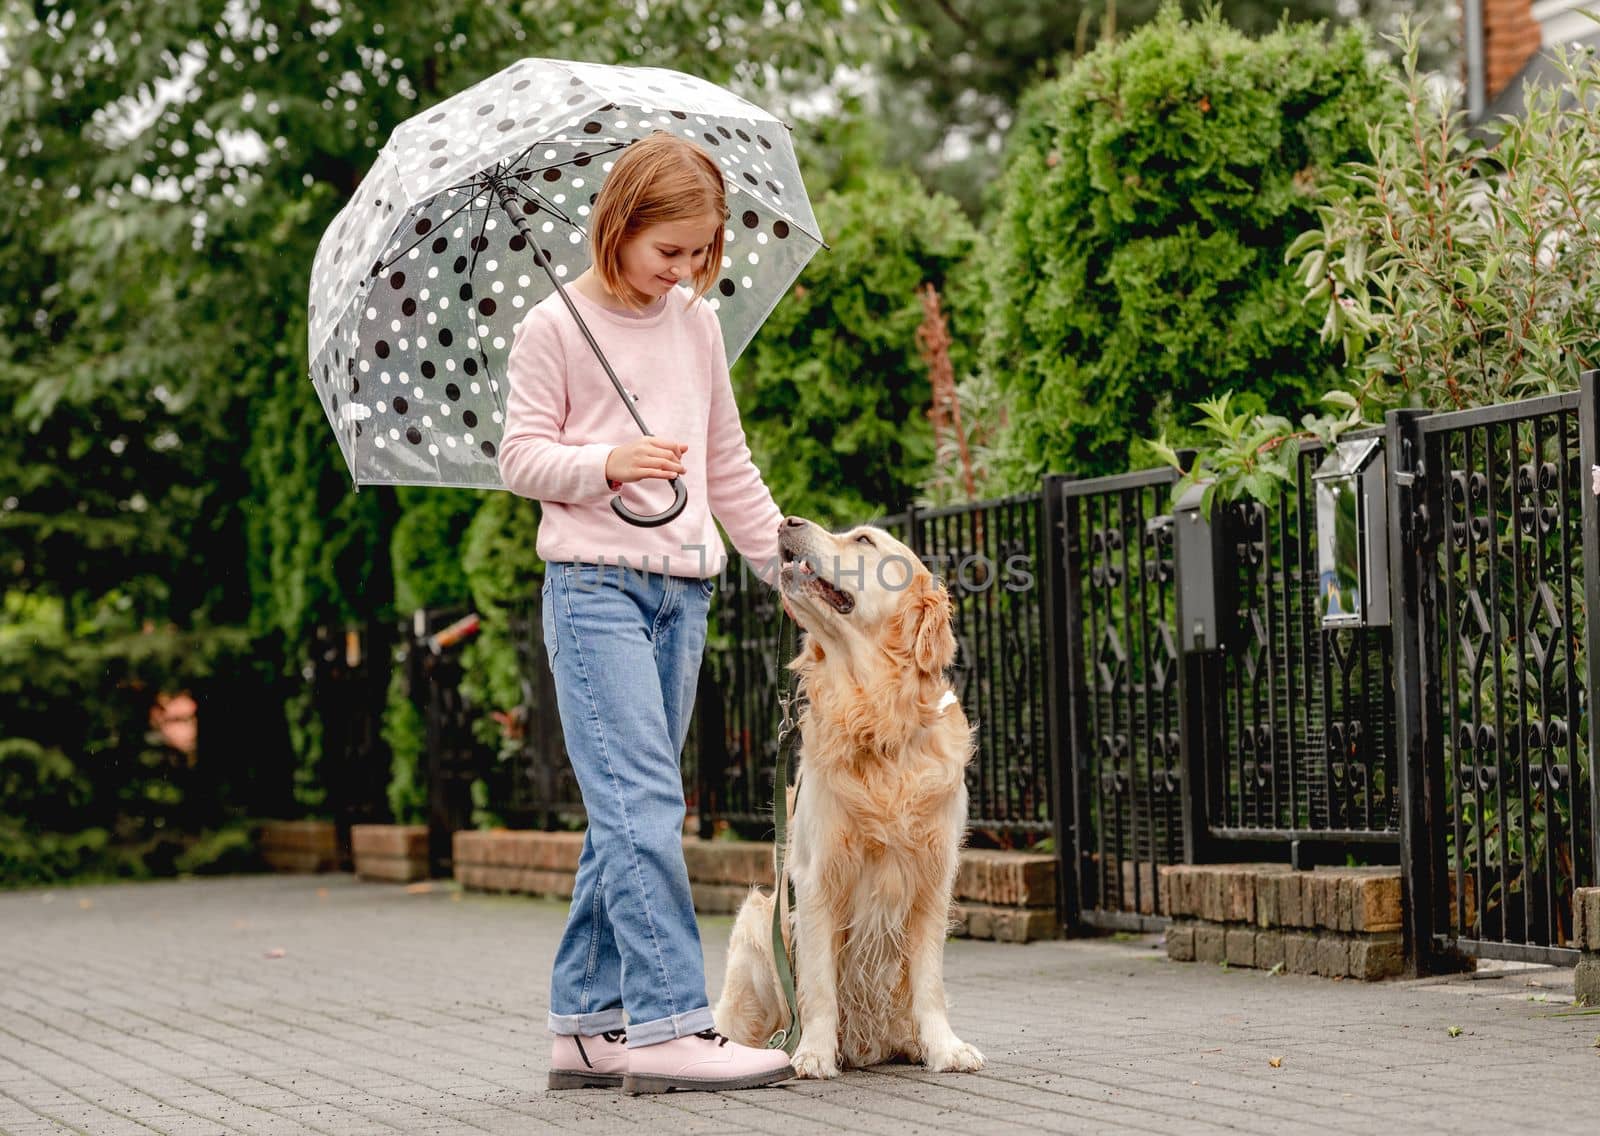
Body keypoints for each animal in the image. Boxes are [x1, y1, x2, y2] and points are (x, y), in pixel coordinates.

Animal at [716, 521, 985, 1081]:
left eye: (863, 540)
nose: (787, 522)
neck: (876, 717)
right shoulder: (817, 879)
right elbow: (818, 984)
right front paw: (814, 1052)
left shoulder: (934, 879)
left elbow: (929, 984)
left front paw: (944, 1047)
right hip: (756, 924)